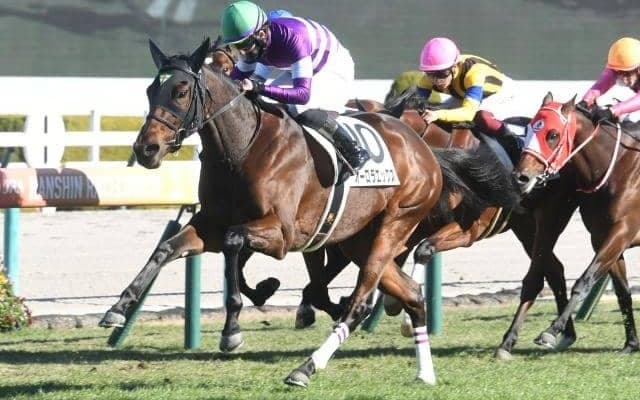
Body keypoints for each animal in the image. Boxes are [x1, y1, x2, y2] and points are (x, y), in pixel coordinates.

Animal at [99, 37, 447, 386]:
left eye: (181, 91)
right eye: (150, 91)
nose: (146, 149)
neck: (243, 150)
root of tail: (421, 146)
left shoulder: (282, 233)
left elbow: (234, 243)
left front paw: (233, 329)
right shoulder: (211, 224)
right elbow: (165, 248)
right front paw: (118, 307)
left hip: (395, 224)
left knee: (360, 302)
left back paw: (305, 368)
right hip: (358, 240)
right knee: (412, 294)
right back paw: (424, 372)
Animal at [513, 92, 640, 353]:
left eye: (552, 134)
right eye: (529, 129)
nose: (521, 177)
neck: (617, 169)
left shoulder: (622, 231)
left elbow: (584, 280)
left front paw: (552, 330)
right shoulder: (603, 238)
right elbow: (622, 292)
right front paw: (631, 343)